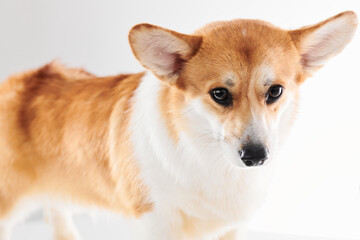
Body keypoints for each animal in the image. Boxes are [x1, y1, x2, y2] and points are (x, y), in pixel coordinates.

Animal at [0, 10, 358, 240]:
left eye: (275, 91)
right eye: (219, 94)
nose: (256, 157)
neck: (211, 162)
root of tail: (18, 80)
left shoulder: (232, 227)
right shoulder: (155, 222)